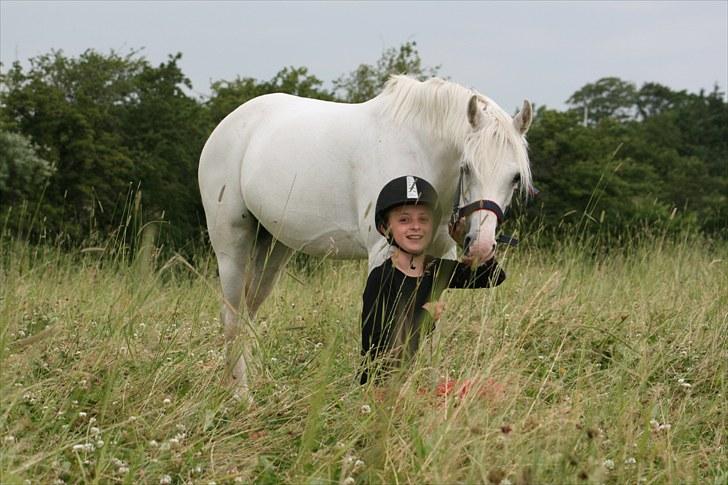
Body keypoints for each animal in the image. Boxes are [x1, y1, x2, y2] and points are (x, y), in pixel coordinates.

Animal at [198, 75, 534, 396]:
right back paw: (241, 396)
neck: (419, 153)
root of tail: (228, 125)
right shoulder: (383, 255)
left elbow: (431, 332)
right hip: (232, 246)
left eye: (515, 177)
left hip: (274, 247)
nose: (480, 246)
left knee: (248, 313)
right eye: (467, 167)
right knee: (232, 317)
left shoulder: (441, 258)